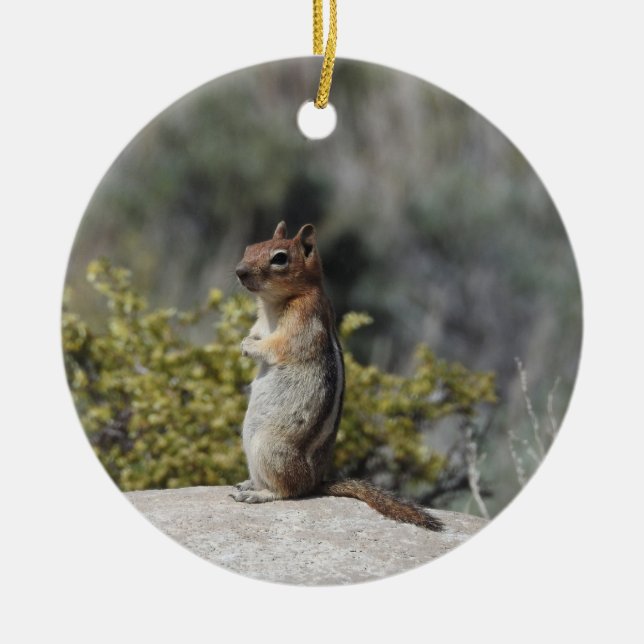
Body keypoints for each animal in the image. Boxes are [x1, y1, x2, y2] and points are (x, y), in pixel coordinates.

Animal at [231, 221, 444, 531]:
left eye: (280, 258)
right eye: (249, 247)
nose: (239, 271)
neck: (274, 303)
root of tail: (317, 480)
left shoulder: (302, 324)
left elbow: (273, 348)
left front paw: (248, 346)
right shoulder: (261, 323)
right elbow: (256, 333)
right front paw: (243, 341)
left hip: (268, 448)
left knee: (290, 491)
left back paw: (259, 494)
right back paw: (248, 484)